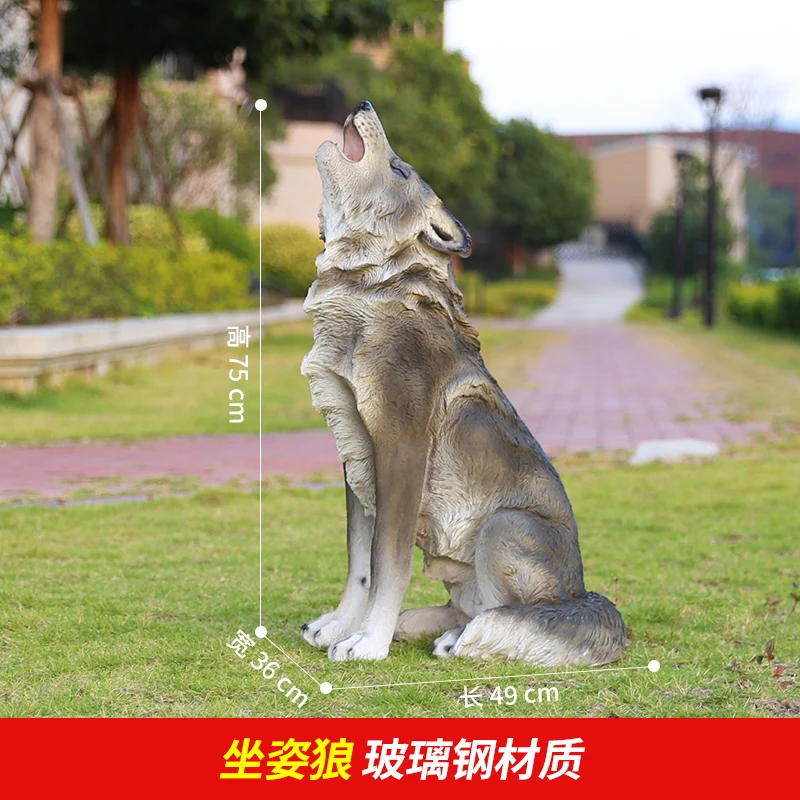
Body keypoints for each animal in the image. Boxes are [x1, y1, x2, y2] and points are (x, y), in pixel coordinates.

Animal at [300, 101, 626, 666]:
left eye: (400, 170)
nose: (364, 104)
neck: (368, 292)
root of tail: (584, 596)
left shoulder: (401, 448)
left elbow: (387, 561)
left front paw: (368, 641)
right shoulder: (355, 452)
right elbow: (358, 561)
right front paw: (341, 625)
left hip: (503, 525)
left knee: (517, 615)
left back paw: (452, 638)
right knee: (465, 607)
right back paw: (419, 625)